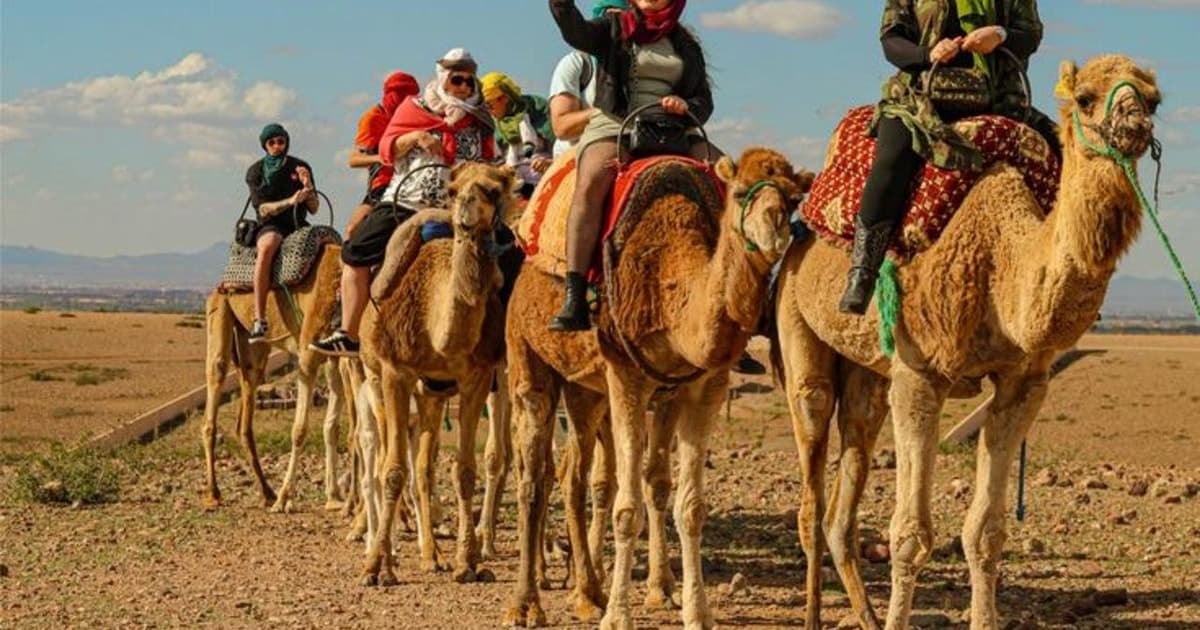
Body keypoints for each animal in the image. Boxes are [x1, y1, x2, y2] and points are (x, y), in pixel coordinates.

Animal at [201, 241, 347, 513]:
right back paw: (214, 494)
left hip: (252, 348)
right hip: (220, 312)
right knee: (215, 382)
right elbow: (299, 429)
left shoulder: (334, 357)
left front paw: (334, 497)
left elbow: (332, 428)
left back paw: (266, 492)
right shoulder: (307, 354)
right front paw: (285, 498)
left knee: (245, 416)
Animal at [358, 161, 521, 586]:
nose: (465, 215)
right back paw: (387, 552)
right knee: (384, 461)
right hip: (375, 378)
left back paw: (432, 556)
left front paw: (469, 562)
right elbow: (393, 471)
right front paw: (376, 569)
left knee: (423, 468)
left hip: (431, 394)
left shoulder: (477, 377)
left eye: (493, 191)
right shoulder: (396, 371)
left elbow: (463, 471)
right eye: (452, 189)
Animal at [504, 148, 812, 629]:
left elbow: (682, 501)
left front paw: (689, 607)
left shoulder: (700, 386)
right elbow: (626, 508)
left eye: (795, 199)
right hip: (527, 358)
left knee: (574, 476)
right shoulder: (626, 377)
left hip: (585, 391)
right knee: (534, 477)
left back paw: (587, 593)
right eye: (740, 191)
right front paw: (618, 617)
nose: (775, 227)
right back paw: (526, 604)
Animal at [773, 55, 1161, 630]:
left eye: (1155, 98)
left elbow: (987, 532)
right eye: (1086, 98)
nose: (1135, 123)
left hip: (866, 374)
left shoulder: (1025, 383)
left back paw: (865, 615)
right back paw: (815, 617)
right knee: (810, 486)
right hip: (799, 327)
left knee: (843, 498)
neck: (1003, 262)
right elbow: (909, 535)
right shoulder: (920, 375)